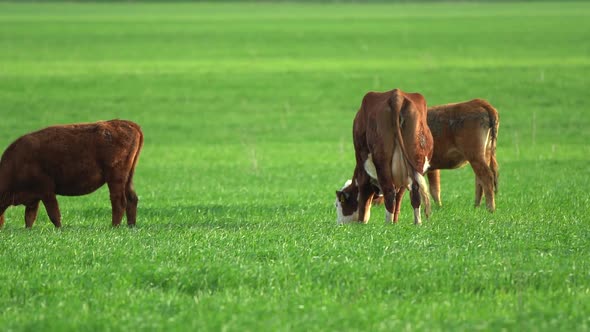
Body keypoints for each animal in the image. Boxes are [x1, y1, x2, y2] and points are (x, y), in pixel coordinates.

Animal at [0, 120, 143, 228]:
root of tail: (128, 124)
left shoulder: (46, 191)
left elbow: (54, 214)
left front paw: (60, 230)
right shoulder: (34, 199)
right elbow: (29, 218)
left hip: (115, 178)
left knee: (119, 201)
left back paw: (114, 227)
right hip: (128, 177)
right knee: (132, 198)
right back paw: (131, 226)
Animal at [338, 88, 434, 224]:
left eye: (339, 204)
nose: (338, 224)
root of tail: (397, 95)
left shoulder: (362, 164)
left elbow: (363, 194)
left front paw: (361, 222)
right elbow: (399, 197)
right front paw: (396, 221)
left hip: (381, 160)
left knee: (389, 191)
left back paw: (387, 224)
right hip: (416, 158)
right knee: (414, 190)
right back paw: (417, 223)